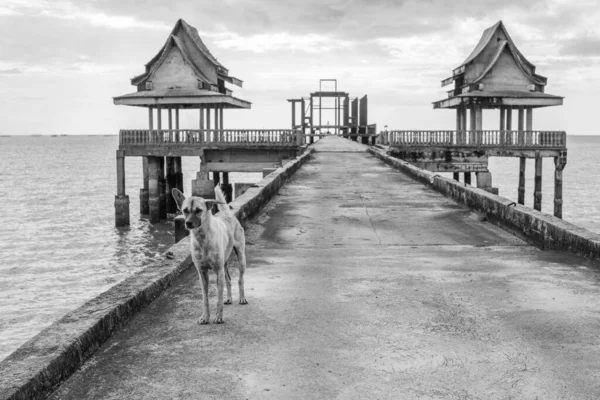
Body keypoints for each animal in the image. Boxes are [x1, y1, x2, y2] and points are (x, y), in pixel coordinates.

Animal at [172, 186, 247, 324]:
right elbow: (205, 299)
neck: (202, 238)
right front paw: (205, 317)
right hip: (224, 264)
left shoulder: (218, 271)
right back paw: (229, 298)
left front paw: (219, 317)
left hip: (241, 258)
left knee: (240, 279)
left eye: (198, 210)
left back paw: (242, 298)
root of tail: (228, 214)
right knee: (228, 280)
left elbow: (218, 298)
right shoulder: (202, 273)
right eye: (185, 210)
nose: (188, 223)